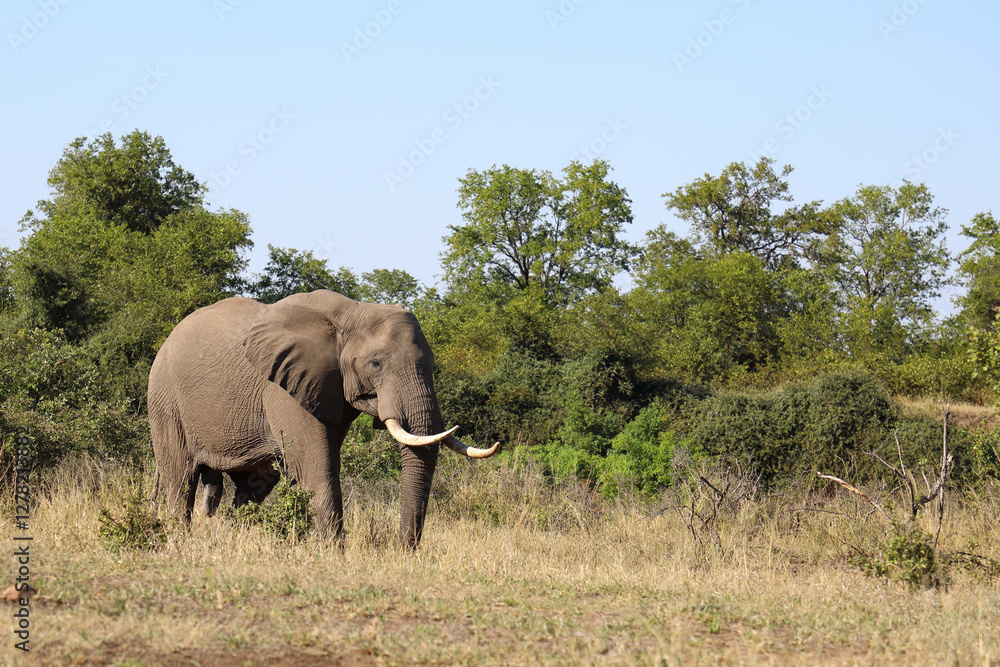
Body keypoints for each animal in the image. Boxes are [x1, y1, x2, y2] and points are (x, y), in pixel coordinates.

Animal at [147, 289, 499, 548]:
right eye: (376, 364)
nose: (404, 551)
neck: (353, 312)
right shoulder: (284, 388)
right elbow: (317, 465)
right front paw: (332, 553)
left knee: (255, 483)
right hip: (165, 400)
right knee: (180, 479)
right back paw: (179, 542)